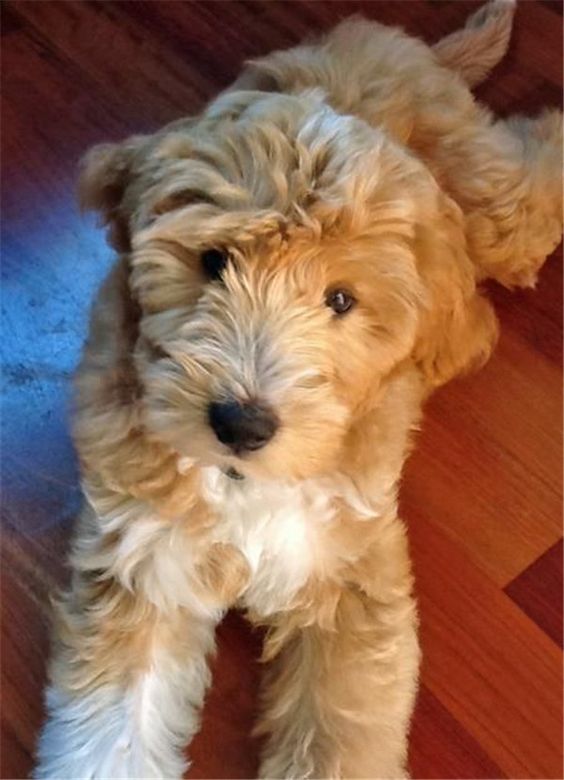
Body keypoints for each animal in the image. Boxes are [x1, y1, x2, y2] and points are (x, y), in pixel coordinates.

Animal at [35, 3, 560, 776]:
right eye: (213, 263)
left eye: (339, 300)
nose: (241, 424)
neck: (243, 483)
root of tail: (385, 44)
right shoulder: (144, 564)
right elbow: (109, 733)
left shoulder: (349, 576)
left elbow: (343, 733)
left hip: (494, 208)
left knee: (534, 171)